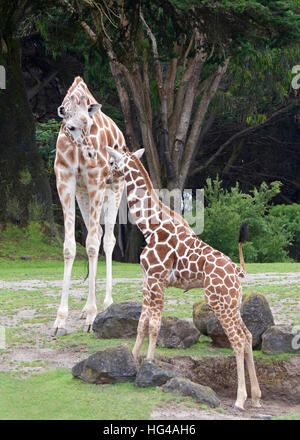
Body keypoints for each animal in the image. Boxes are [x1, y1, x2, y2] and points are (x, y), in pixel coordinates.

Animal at [51, 77, 126, 336]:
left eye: (90, 124)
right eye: (71, 127)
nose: (93, 154)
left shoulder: (96, 181)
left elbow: (93, 244)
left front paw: (93, 318)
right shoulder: (65, 181)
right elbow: (70, 247)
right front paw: (60, 321)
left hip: (115, 187)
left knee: (108, 238)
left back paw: (106, 304)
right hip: (83, 194)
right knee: (99, 233)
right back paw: (85, 308)